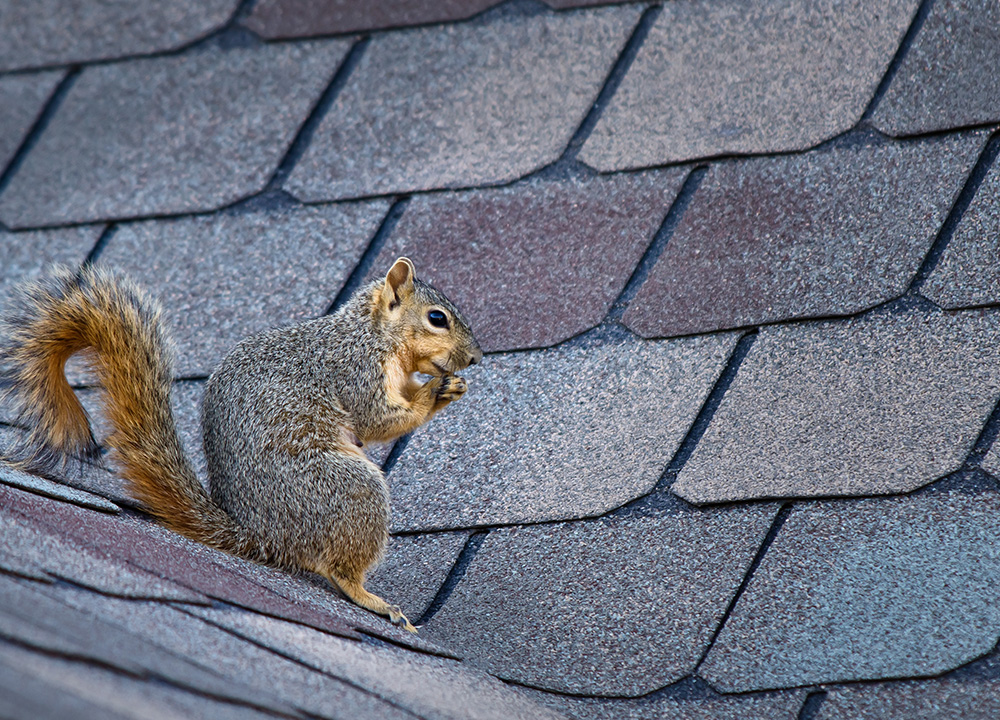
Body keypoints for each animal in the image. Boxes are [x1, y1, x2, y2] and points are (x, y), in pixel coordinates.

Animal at [0, 258, 484, 632]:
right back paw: (372, 598)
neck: (374, 334)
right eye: (437, 318)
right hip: (347, 487)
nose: (477, 358)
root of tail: (260, 535)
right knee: (339, 568)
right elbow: (377, 418)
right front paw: (434, 393)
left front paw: (448, 386)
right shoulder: (354, 370)